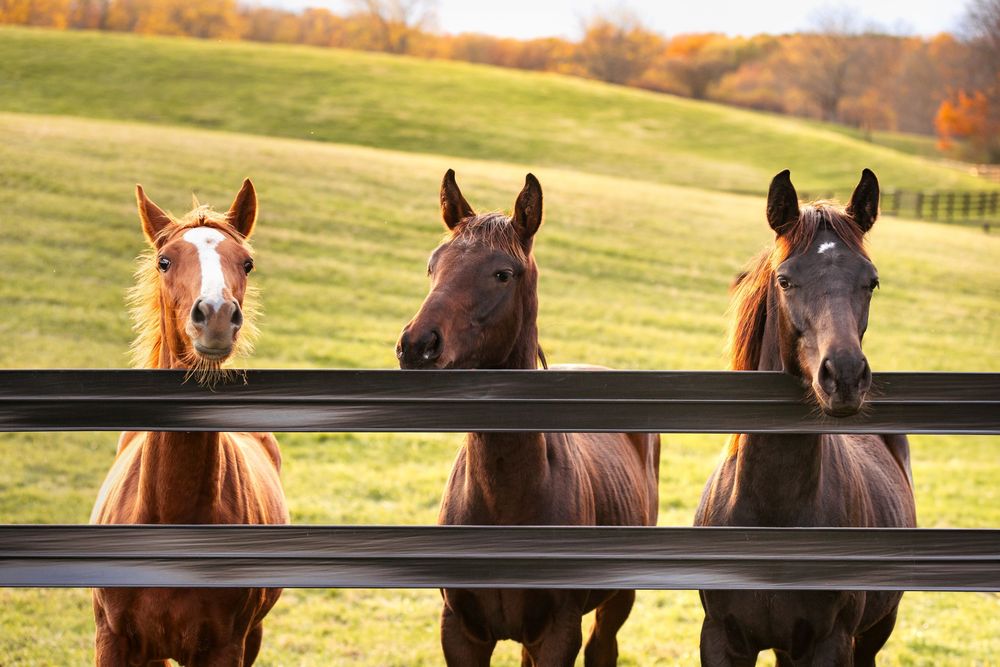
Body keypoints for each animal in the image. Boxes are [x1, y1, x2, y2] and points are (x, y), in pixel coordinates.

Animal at [396, 170, 661, 667]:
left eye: (503, 273)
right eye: (433, 265)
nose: (417, 346)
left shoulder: (558, 634)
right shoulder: (461, 633)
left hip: (617, 601)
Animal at [694, 169, 916, 666]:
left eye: (871, 281)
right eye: (785, 280)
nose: (846, 376)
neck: (771, 516)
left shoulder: (832, 642)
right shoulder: (720, 639)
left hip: (874, 633)